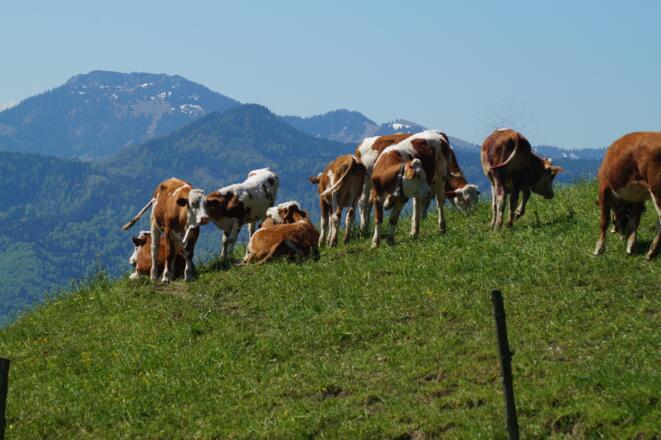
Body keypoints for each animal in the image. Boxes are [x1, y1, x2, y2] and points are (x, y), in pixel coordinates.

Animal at [593, 131, 661, 260]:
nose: (621, 235)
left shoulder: (604, 188)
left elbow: (604, 220)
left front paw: (598, 249)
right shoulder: (638, 198)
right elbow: (634, 221)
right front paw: (630, 245)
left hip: (657, 191)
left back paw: (651, 252)